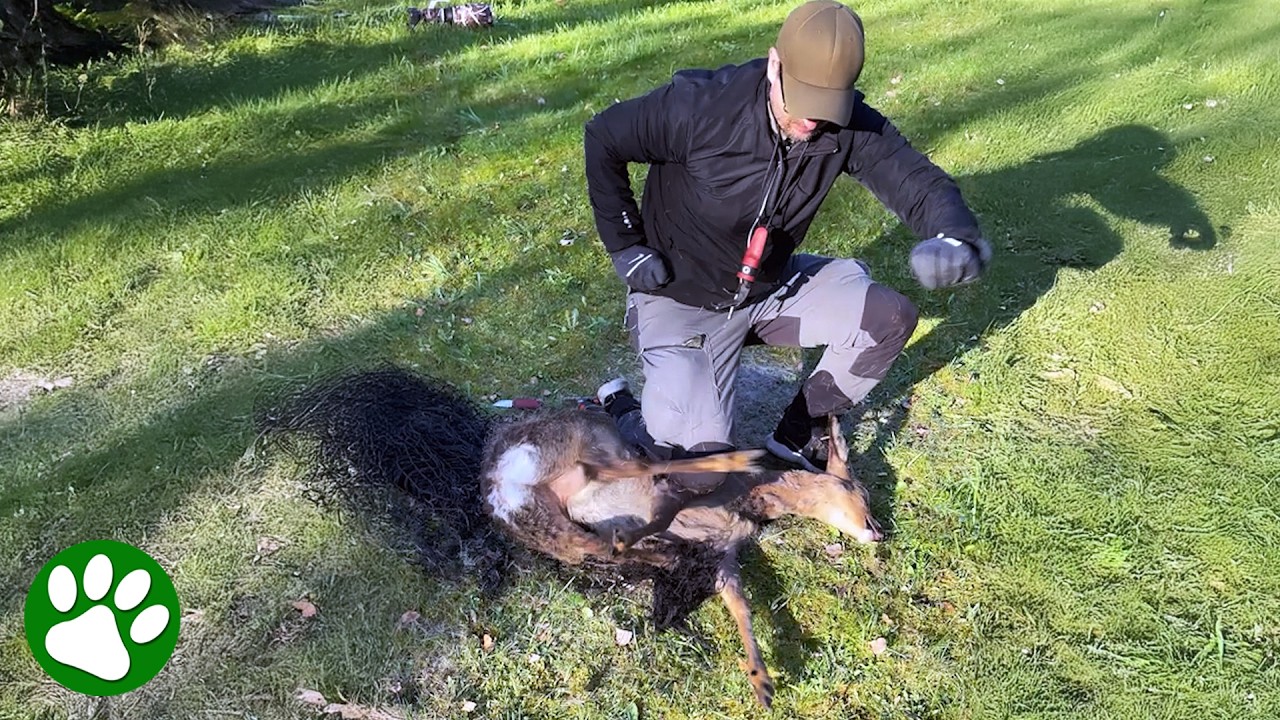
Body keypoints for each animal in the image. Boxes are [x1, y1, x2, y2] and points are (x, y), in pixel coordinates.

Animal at [478, 408, 882, 709]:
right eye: (859, 491)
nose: (878, 531)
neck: (750, 501)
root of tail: (500, 478)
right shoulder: (683, 499)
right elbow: (664, 511)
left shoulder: (723, 557)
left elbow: (742, 608)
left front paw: (762, 682)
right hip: (594, 445)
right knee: (638, 469)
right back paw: (737, 458)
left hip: (557, 529)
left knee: (600, 538)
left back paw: (657, 553)